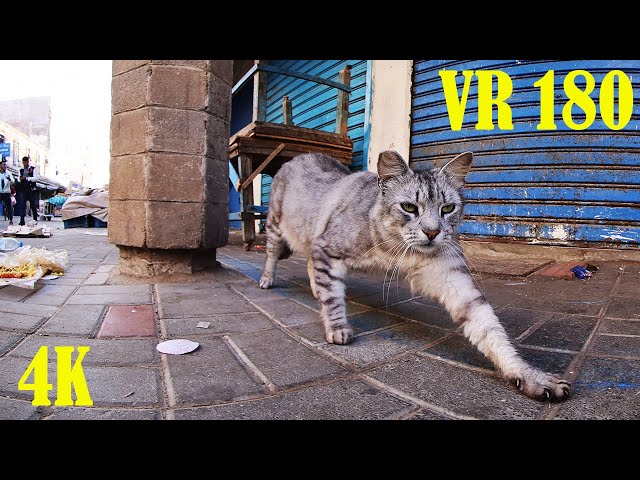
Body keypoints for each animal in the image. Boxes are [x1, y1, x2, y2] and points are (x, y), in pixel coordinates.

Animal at [258, 150, 572, 402]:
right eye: (409, 207)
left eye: (447, 208)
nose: (432, 232)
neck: (395, 250)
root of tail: (300, 156)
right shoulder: (326, 247)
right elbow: (334, 298)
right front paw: (337, 328)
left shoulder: (451, 277)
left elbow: (489, 329)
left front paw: (529, 375)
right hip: (274, 225)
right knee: (274, 255)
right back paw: (267, 280)